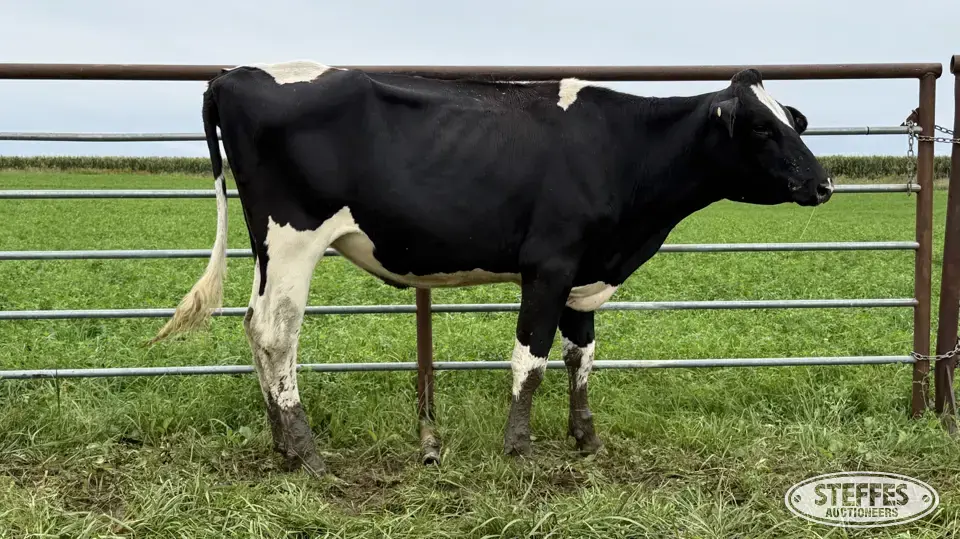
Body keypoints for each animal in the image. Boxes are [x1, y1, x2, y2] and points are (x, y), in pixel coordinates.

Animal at [151, 60, 833, 476]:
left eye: (791, 121)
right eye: (761, 129)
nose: (823, 183)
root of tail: (234, 75)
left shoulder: (585, 274)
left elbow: (580, 356)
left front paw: (586, 440)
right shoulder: (550, 265)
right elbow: (530, 359)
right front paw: (519, 449)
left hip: (268, 247)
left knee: (254, 326)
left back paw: (280, 444)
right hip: (294, 239)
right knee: (277, 332)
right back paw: (307, 452)